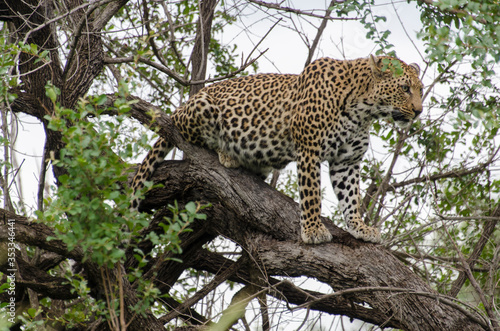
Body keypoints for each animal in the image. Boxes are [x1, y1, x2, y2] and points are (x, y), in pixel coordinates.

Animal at [131, 55, 424, 245]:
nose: (419, 111)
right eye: (404, 88)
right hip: (203, 109)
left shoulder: (347, 160)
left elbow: (351, 196)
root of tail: (182, 106)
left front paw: (359, 227)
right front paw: (313, 230)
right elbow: (311, 194)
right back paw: (227, 154)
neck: (363, 110)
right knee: (188, 136)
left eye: (420, 90)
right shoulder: (309, 149)